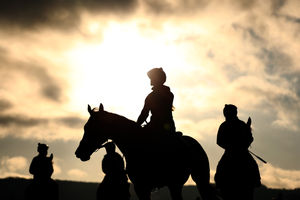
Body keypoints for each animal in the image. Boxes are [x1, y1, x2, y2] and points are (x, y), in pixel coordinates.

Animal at [75, 104, 216, 199]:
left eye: (90, 127)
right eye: (85, 127)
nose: (79, 152)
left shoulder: (143, 186)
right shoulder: (141, 187)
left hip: (197, 180)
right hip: (176, 185)